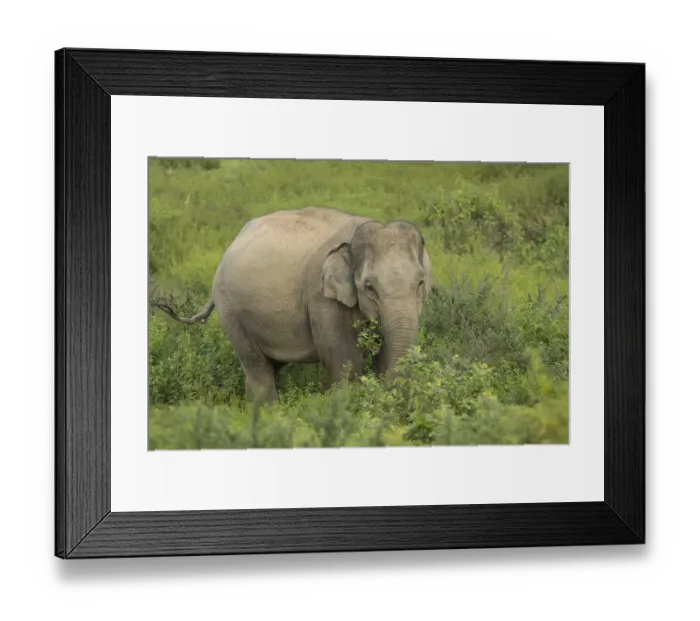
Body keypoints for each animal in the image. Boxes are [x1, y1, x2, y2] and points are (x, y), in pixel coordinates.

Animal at [155, 206, 432, 403]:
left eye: (420, 282)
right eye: (369, 287)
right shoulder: (321, 298)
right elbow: (343, 359)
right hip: (231, 310)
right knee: (256, 365)